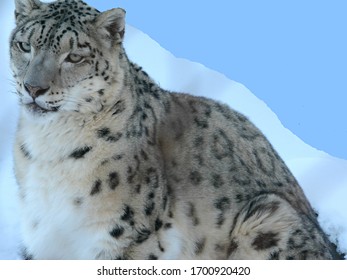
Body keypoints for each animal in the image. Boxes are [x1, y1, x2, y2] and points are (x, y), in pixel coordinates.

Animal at [9, 0, 344, 260]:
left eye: (75, 56)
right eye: (25, 45)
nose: (33, 88)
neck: (49, 147)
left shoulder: (126, 236)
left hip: (269, 219)